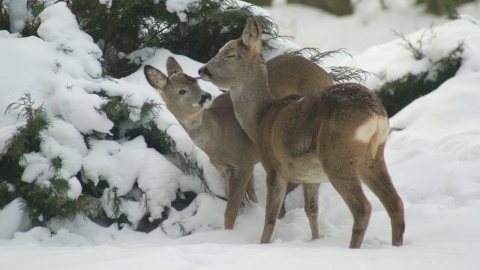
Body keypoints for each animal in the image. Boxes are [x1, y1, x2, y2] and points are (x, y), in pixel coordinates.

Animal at [144, 54, 336, 230]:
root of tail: (328, 76)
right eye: (181, 91)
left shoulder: (243, 163)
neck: (218, 137)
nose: (206, 95)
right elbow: (250, 197)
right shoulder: (234, 166)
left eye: (196, 84)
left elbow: (230, 212)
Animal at [199, 17, 404, 249]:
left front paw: (262, 245)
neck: (261, 117)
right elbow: (311, 210)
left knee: (363, 208)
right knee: (395, 203)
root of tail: (375, 112)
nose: (202, 69)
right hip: (373, 157)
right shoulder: (310, 175)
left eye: (230, 54)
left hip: (337, 157)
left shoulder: (274, 166)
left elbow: (270, 217)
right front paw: (315, 240)